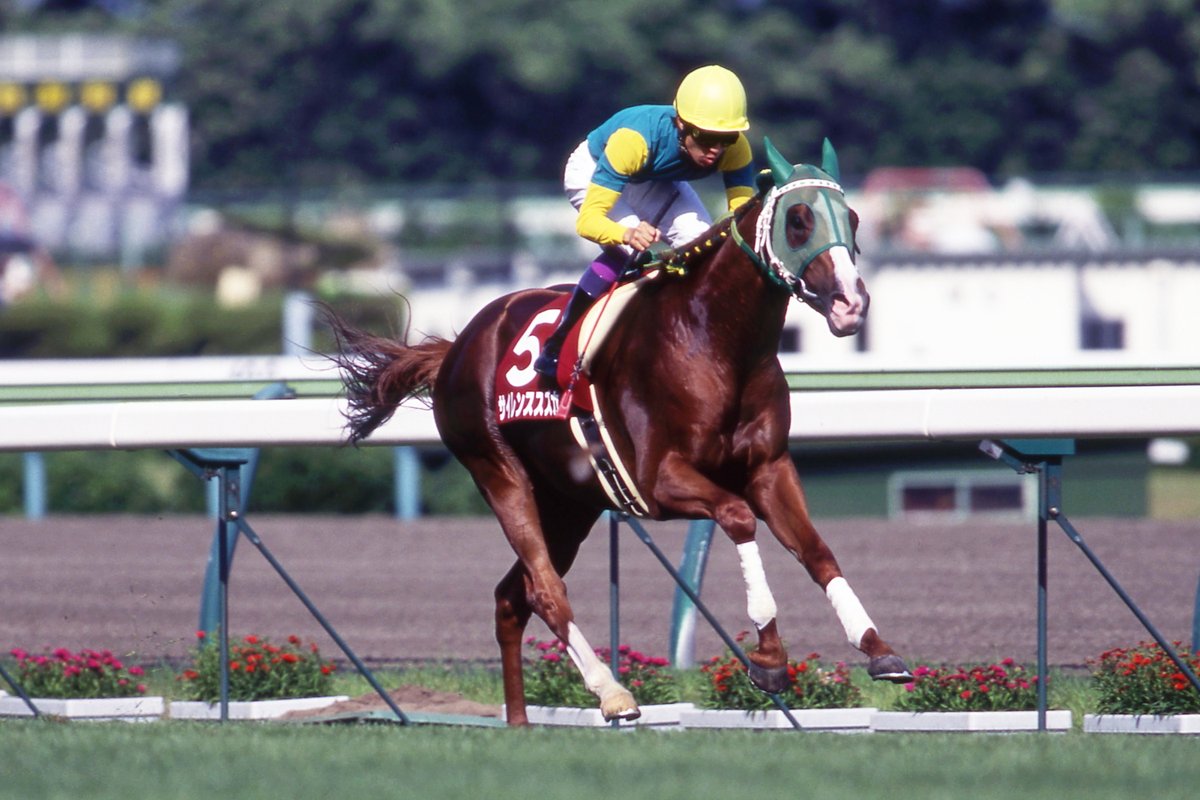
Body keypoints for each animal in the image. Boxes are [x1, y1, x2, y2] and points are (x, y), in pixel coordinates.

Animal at [326, 138, 912, 726]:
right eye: (798, 220)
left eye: (853, 218)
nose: (851, 304)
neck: (715, 340)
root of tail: (458, 345)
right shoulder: (658, 482)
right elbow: (739, 517)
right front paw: (768, 657)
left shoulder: (769, 468)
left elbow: (816, 550)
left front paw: (879, 650)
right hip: (499, 473)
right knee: (544, 589)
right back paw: (613, 693)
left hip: (569, 503)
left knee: (512, 598)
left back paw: (519, 722)